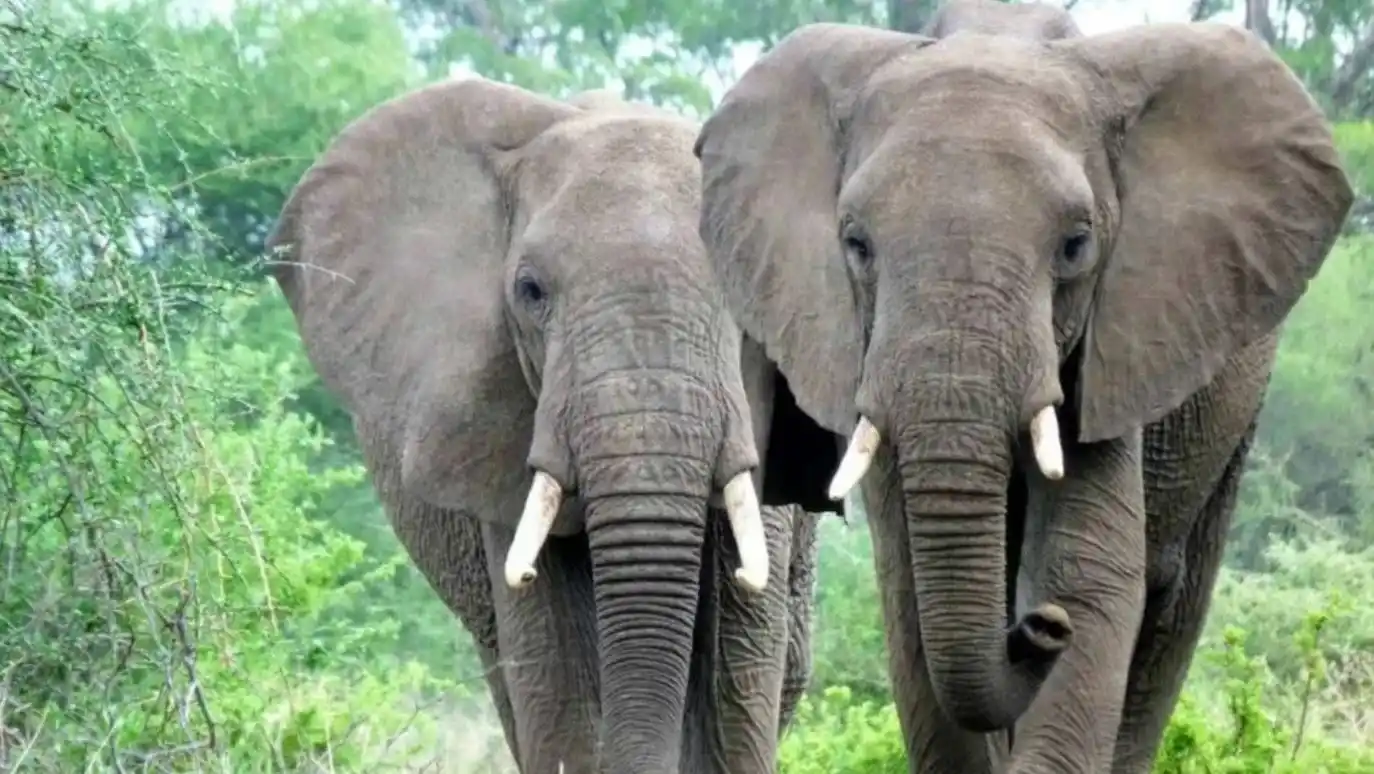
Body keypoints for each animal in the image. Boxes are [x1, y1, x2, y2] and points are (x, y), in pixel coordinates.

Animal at [692, 12, 1353, 774]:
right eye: (855, 245)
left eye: (1075, 246)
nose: (1040, 628)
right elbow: (913, 605)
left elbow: (1089, 573)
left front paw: (1065, 609)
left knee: (1170, 607)